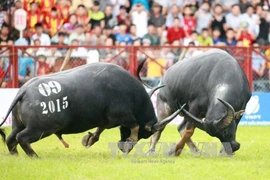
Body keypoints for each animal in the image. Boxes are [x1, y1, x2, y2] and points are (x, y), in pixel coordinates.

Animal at [0, 62, 184, 157]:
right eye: (144, 135)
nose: (123, 147)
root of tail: (24, 90)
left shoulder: (108, 120)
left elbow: (99, 130)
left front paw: (89, 139)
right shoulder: (123, 115)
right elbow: (135, 125)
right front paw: (130, 141)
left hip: (18, 124)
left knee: (10, 139)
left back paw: (15, 155)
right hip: (42, 128)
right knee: (21, 138)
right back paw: (34, 156)